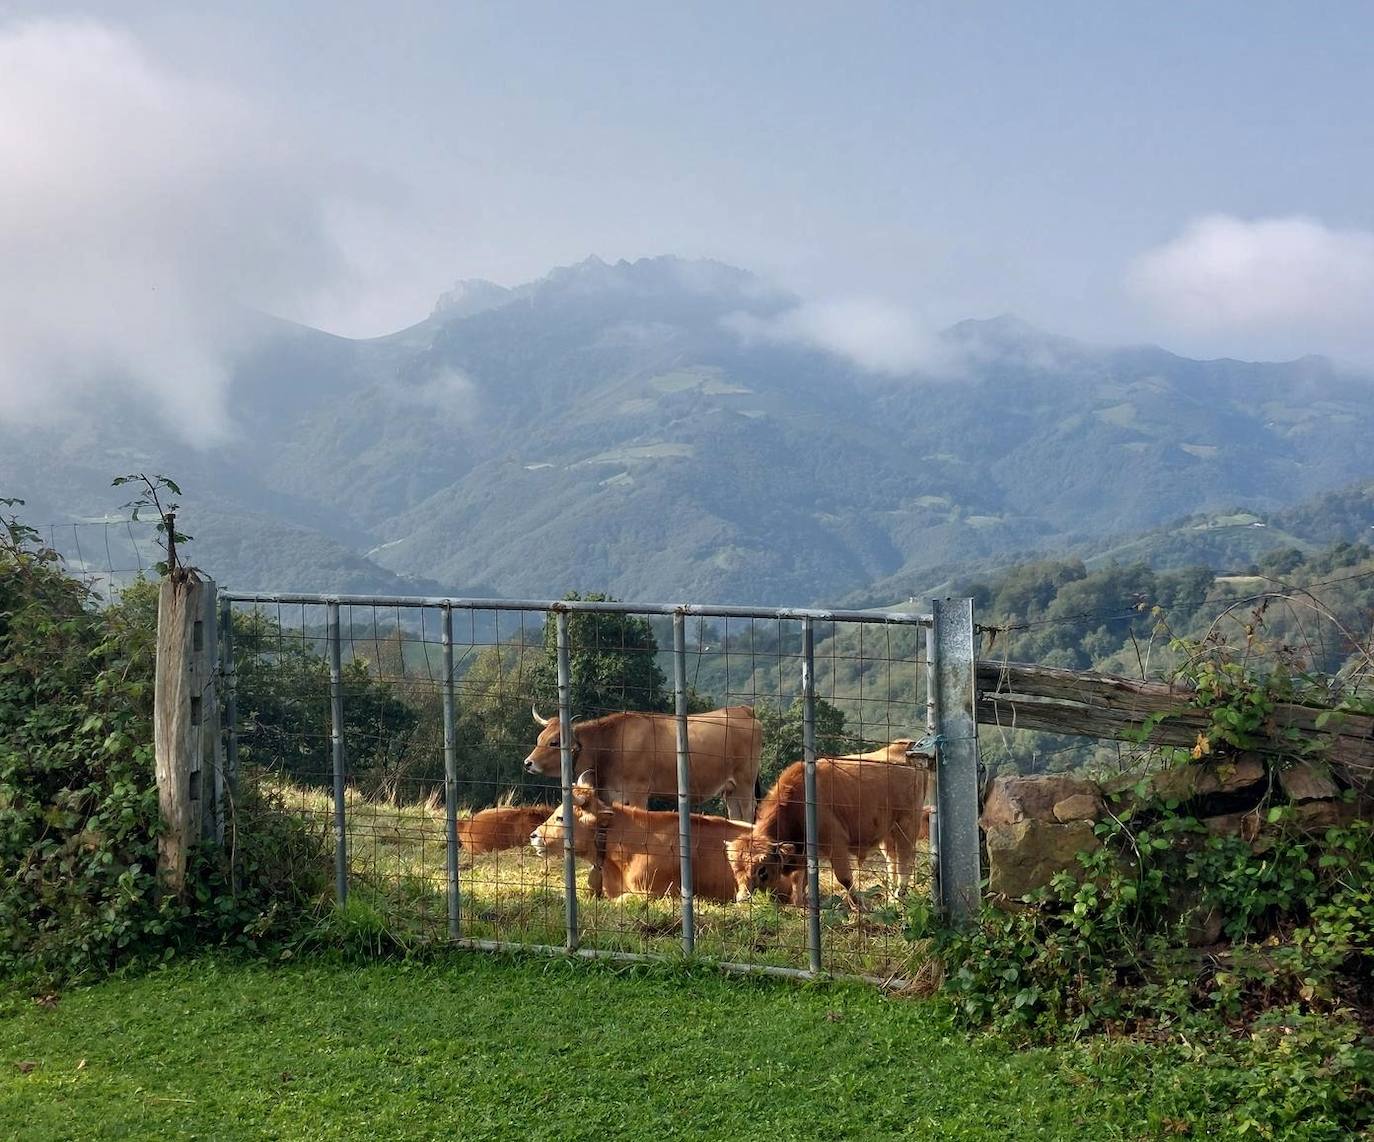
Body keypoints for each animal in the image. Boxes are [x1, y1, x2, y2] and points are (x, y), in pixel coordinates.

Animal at [725, 753, 928, 917]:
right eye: (735, 869)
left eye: (762, 870)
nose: (743, 899)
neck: (798, 802)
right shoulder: (803, 853)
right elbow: (798, 880)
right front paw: (801, 905)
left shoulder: (836, 844)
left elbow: (844, 878)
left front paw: (859, 906)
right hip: (888, 833)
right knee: (892, 862)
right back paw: (893, 898)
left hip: (907, 824)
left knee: (905, 861)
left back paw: (900, 896)